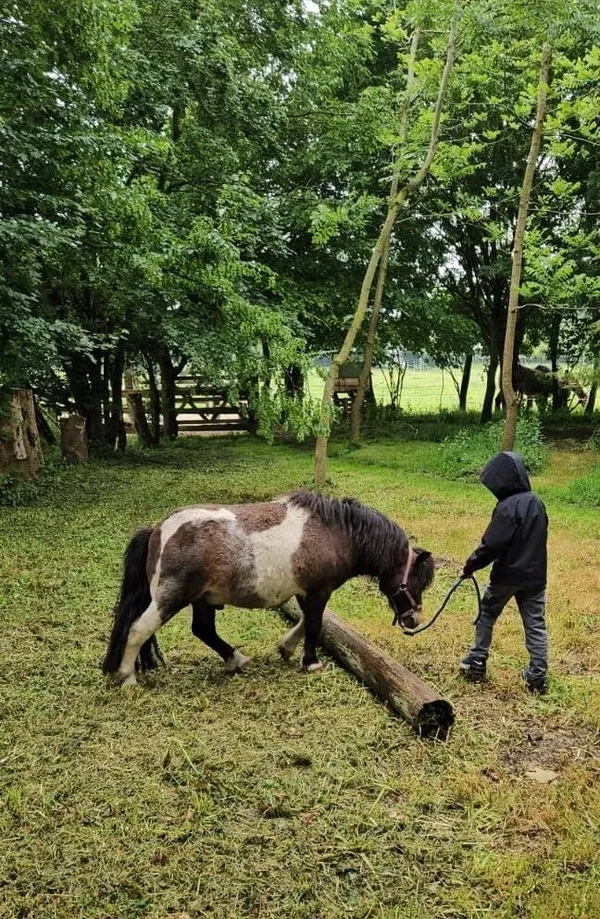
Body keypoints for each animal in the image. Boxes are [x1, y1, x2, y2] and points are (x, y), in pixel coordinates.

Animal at [102, 491, 435, 687]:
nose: (414, 619)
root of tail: (157, 530)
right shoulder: (319, 591)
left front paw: (287, 648)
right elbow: (314, 625)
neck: (337, 533)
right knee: (138, 629)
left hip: (202, 599)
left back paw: (235, 660)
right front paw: (310, 662)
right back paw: (127, 677)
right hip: (169, 599)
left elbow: (310, 623)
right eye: (417, 581)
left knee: (203, 630)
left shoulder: (306, 592)